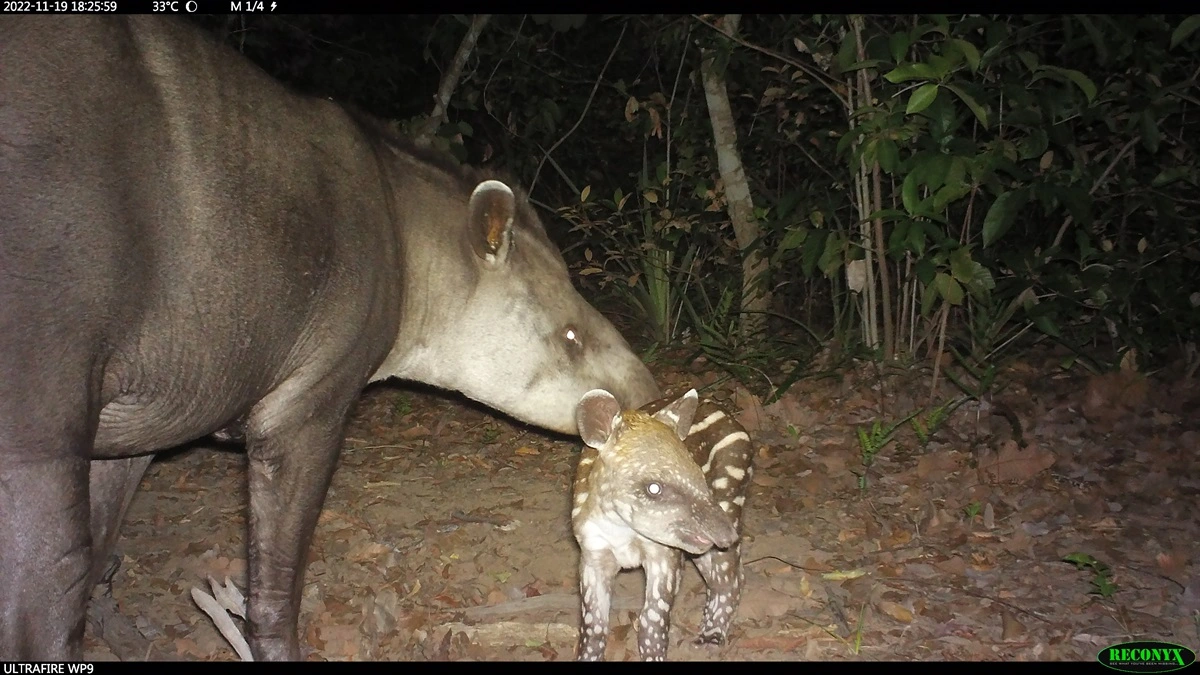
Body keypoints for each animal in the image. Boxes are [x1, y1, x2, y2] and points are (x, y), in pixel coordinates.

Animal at [0, 14, 662, 658]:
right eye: (572, 337)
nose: (652, 394)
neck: (410, 248)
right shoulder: (310, 394)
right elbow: (272, 589)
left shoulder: (140, 418)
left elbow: (104, 542)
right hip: (43, 359)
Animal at [571, 389, 748, 658]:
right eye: (654, 488)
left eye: (699, 474)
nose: (727, 536)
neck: (622, 529)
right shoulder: (593, 552)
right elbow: (594, 626)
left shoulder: (664, 553)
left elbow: (651, 621)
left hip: (730, 492)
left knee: (728, 577)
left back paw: (710, 637)